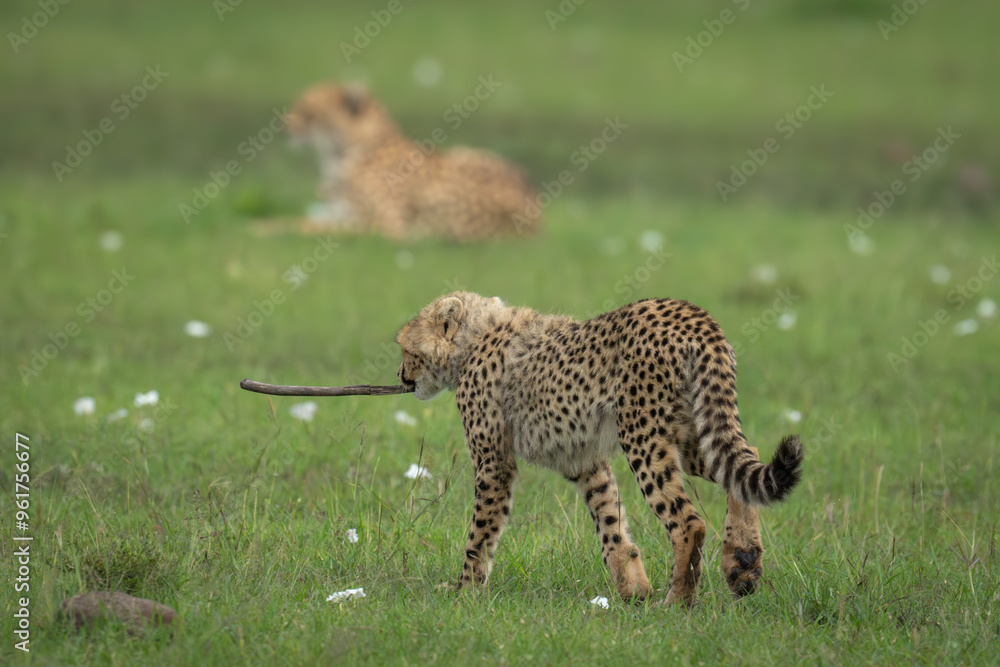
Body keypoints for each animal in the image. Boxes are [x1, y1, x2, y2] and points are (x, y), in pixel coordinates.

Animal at [285, 83, 541, 242]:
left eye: (307, 112)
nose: (285, 127)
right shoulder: (341, 214)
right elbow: (300, 220)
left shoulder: (385, 226)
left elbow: (305, 227)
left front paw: (276, 230)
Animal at [395, 291, 804, 605]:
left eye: (405, 349)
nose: (401, 376)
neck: (476, 335)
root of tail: (689, 313)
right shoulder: (585, 461)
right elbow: (611, 522)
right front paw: (633, 590)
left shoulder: (494, 464)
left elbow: (480, 535)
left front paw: (465, 592)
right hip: (688, 434)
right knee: (742, 463)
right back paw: (743, 563)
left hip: (643, 436)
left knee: (689, 521)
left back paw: (677, 601)